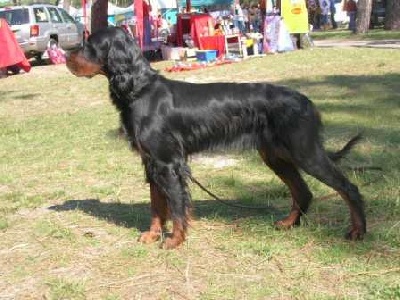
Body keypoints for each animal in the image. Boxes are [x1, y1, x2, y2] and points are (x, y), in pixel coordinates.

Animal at [66, 27, 366, 250]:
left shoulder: (167, 163)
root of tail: (307, 102)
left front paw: (174, 241)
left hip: (305, 152)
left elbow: (176, 206)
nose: (66, 57)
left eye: (89, 44)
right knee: (303, 191)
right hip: (276, 156)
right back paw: (288, 224)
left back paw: (357, 231)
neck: (140, 90)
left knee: (348, 188)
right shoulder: (151, 163)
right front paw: (152, 235)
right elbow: (156, 205)